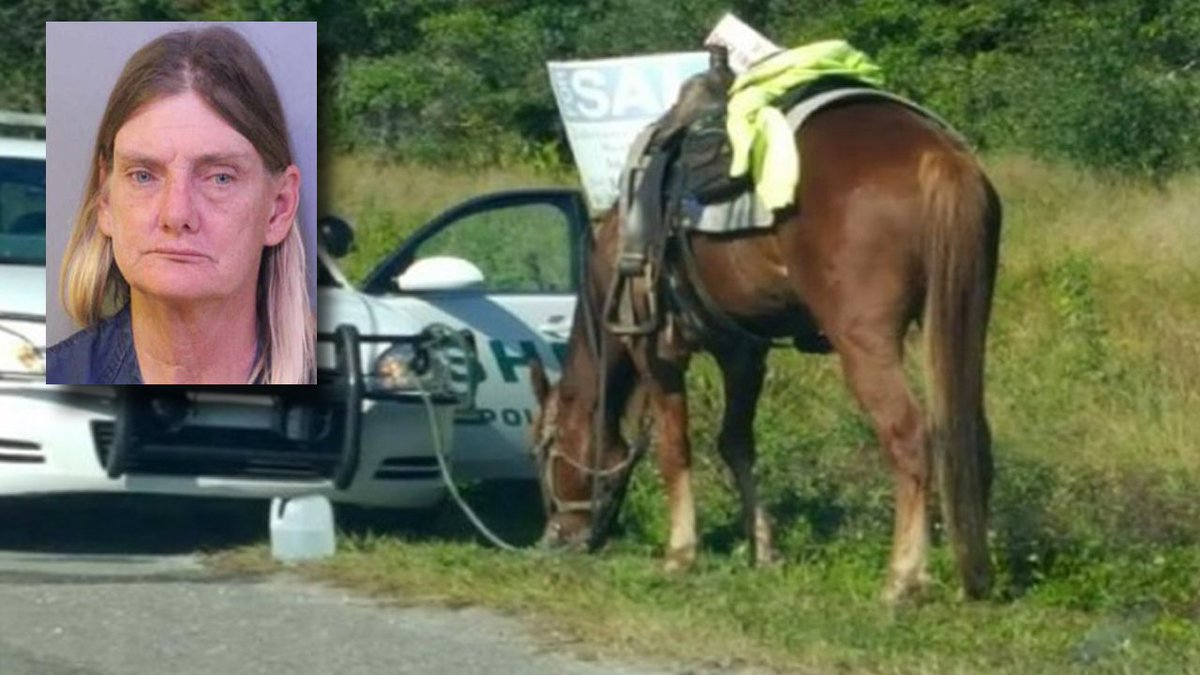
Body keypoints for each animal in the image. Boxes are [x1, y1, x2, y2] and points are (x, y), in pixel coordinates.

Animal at [528, 95, 1002, 603]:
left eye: (543, 450)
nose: (553, 538)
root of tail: (938, 154)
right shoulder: (743, 351)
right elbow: (736, 443)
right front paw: (763, 550)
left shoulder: (654, 350)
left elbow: (675, 448)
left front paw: (680, 553)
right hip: (962, 320)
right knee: (971, 433)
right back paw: (976, 572)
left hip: (865, 343)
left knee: (910, 437)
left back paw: (902, 577)